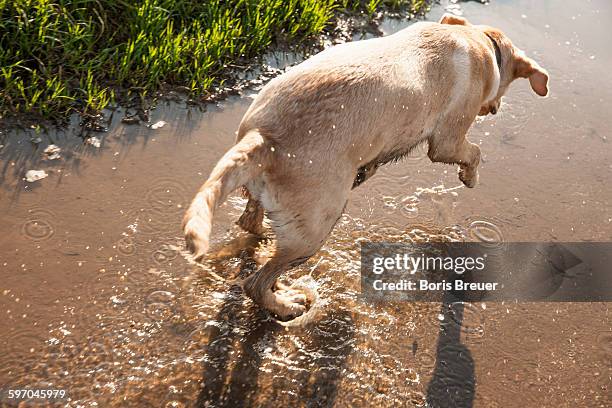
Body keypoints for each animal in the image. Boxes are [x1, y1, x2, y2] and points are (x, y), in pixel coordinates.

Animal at [183, 13, 548, 318]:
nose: (495, 109)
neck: (474, 38)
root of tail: (263, 137)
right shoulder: (447, 139)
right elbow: (474, 152)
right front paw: (469, 176)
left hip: (271, 196)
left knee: (251, 224)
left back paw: (265, 247)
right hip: (316, 227)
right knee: (255, 283)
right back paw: (286, 305)